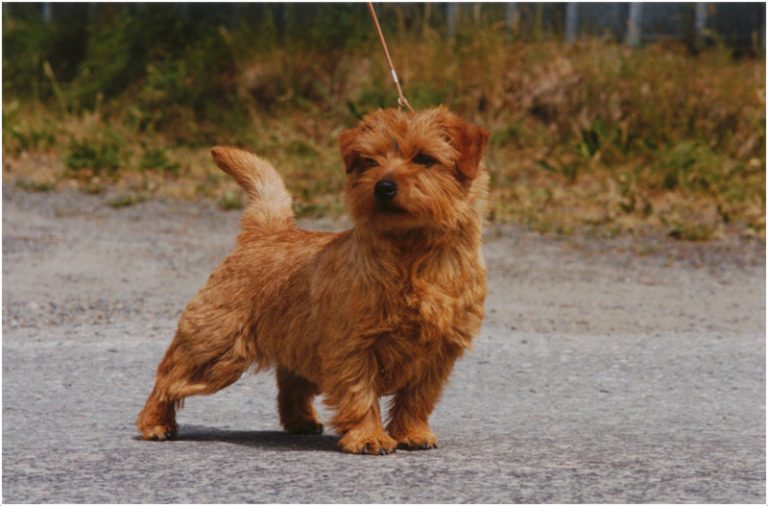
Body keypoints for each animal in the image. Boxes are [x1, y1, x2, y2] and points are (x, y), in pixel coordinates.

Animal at [135, 106, 488, 454]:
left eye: (425, 158)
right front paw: (368, 437)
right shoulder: (353, 346)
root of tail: (266, 231)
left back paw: (301, 421)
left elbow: (418, 398)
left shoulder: (439, 352)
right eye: (369, 161)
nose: (383, 187)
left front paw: (412, 433)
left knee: (289, 383)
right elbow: (360, 394)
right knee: (168, 377)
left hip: (296, 343)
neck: (413, 256)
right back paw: (155, 423)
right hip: (215, 348)